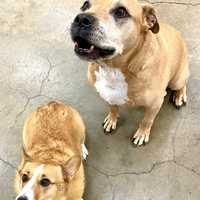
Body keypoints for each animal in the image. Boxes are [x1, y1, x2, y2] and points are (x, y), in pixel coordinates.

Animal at [70, 0, 189, 147]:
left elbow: (147, 120)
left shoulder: (155, 104)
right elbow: (113, 108)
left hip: (177, 80)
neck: (112, 69)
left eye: (121, 11)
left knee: (183, 84)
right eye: (85, 5)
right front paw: (112, 119)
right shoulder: (109, 95)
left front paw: (142, 134)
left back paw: (179, 96)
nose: (81, 18)